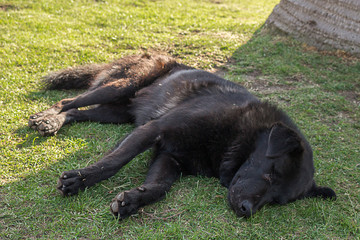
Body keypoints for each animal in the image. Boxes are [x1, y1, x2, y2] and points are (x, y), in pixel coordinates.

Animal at [28, 53, 334, 218]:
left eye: (276, 200)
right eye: (271, 173)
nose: (247, 210)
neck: (237, 134)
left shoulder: (169, 157)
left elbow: (159, 187)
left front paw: (132, 201)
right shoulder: (155, 130)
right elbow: (115, 161)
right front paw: (79, 180)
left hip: (116, 112)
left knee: (76, 111)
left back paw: (54, 122)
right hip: (120, 86)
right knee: (68, 100)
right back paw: (46, 118)